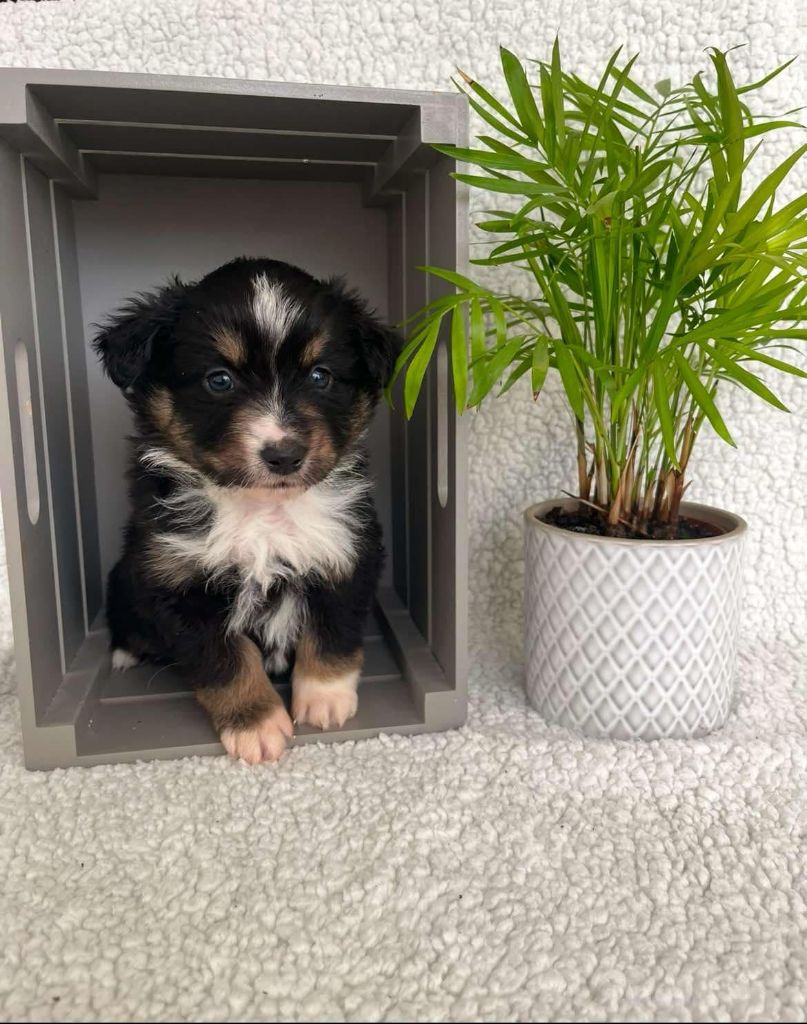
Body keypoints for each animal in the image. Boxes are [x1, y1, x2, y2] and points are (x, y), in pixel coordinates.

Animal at [94, 257, 399, 764]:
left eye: (320, 376)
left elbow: (332, 633)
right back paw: (126, 652)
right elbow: (225, 661)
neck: (262, 510)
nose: (284, 455)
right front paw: (255, 725)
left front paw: (325, 699)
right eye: (219, 379)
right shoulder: (176, 581)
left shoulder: (348, 551)